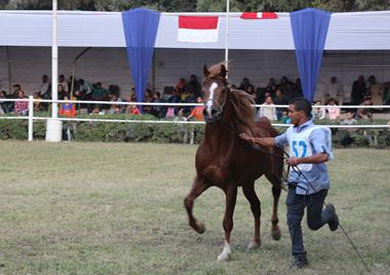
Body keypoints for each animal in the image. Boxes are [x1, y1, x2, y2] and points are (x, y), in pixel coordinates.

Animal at [183, 63, 284, 262]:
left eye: (223, 90)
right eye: (203, 89)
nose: (210, 112)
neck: (216, 147)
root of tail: (270, 128)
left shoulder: (230, 186)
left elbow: (227, 220)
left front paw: (225, 252)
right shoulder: (203, 179)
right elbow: (188, 201)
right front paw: (200, 227)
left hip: (272, 173)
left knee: (275, 192)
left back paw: (275, 231)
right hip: (247, 184)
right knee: (256, 206)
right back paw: (255, 242)